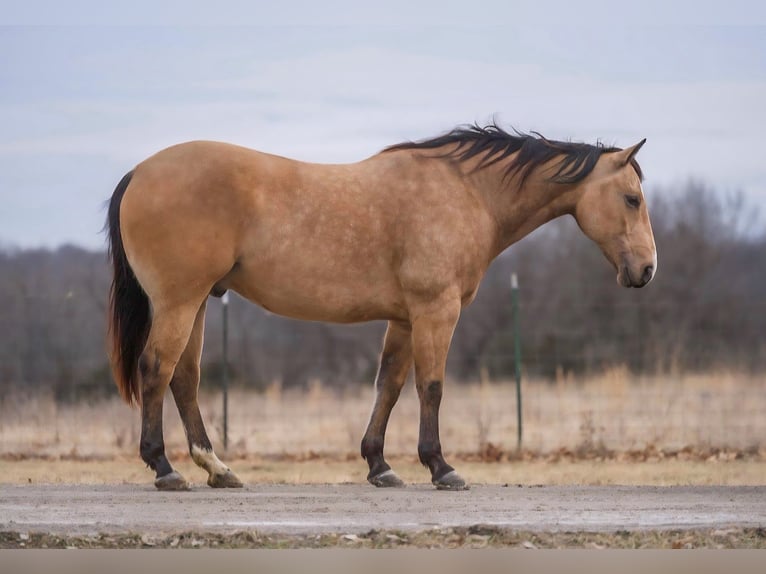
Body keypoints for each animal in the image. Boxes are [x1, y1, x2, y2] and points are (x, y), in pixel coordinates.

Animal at [106, 123, 656, 491]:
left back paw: (217, 469)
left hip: (197, 303)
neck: (466, 191)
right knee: (157, 369)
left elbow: (388, 386)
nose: (647, 270)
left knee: (184, 378)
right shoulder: (437, 311)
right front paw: (441, 467)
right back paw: (165, 468)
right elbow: (430, 387)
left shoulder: (404, 319)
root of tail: (138, 172)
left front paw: (379, 465)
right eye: (632, 199)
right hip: (179, 302)